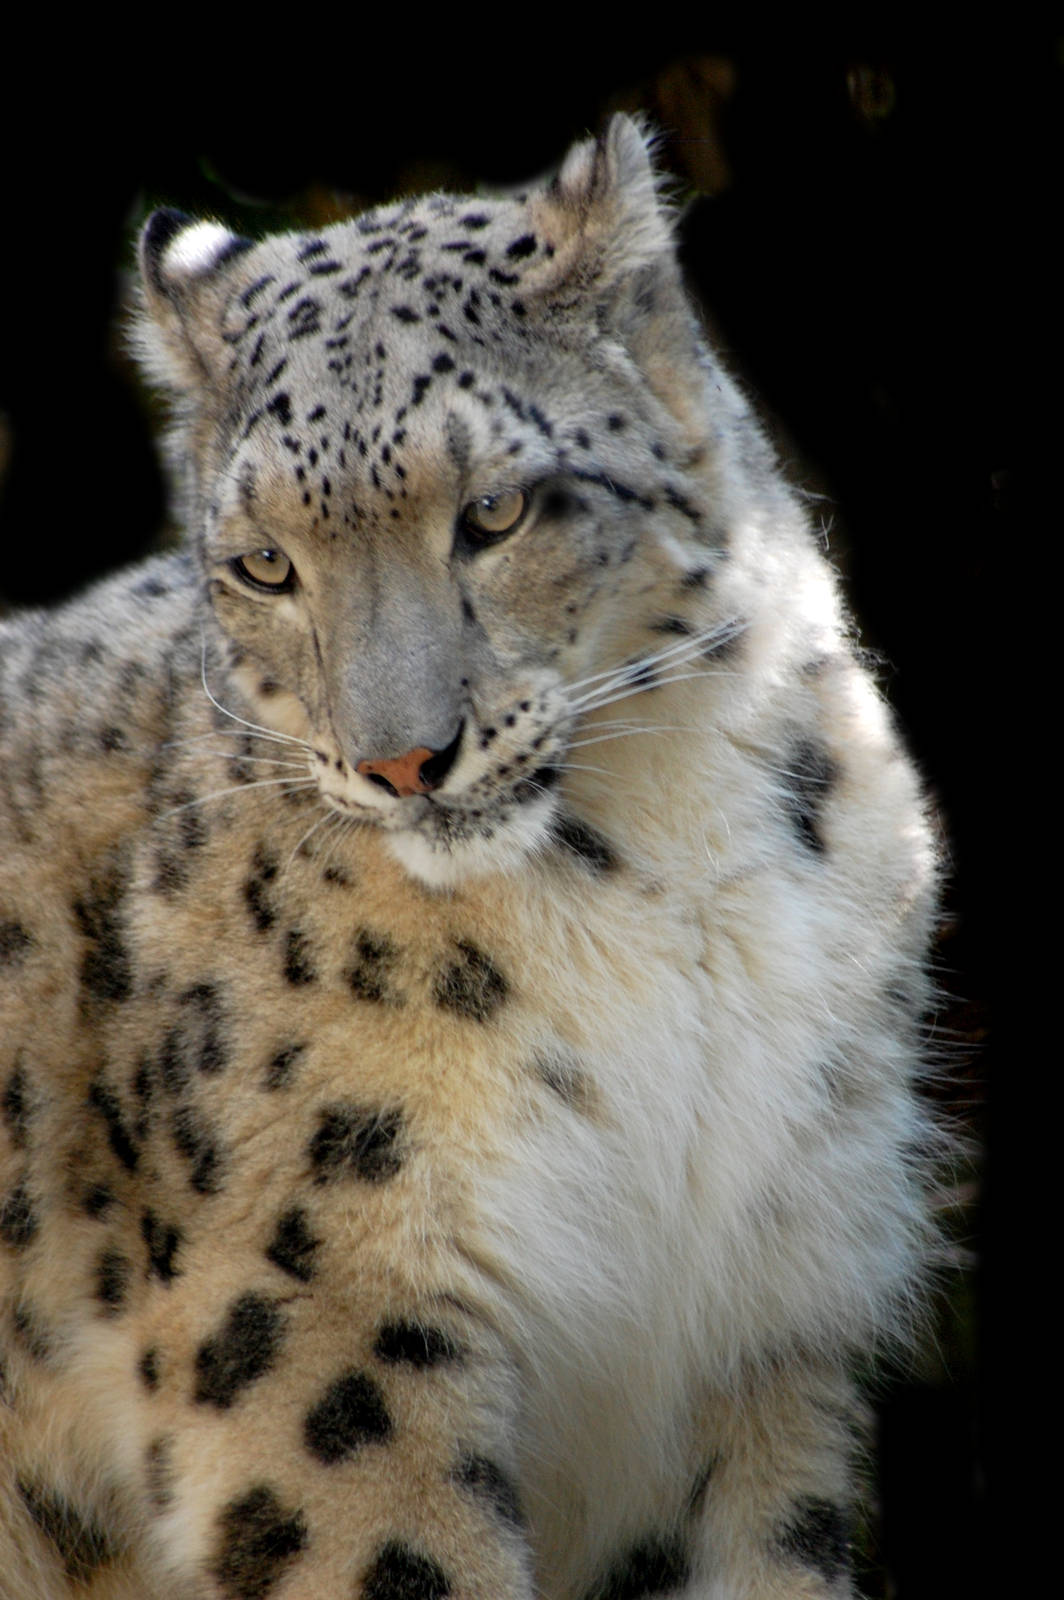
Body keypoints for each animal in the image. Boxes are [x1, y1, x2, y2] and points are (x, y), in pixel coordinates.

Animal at [0, 116, 943, 1599]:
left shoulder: (764, 1315)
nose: (402, 759)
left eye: (495, 511)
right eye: (265, 563)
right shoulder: (325, 1319)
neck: (664, 878)